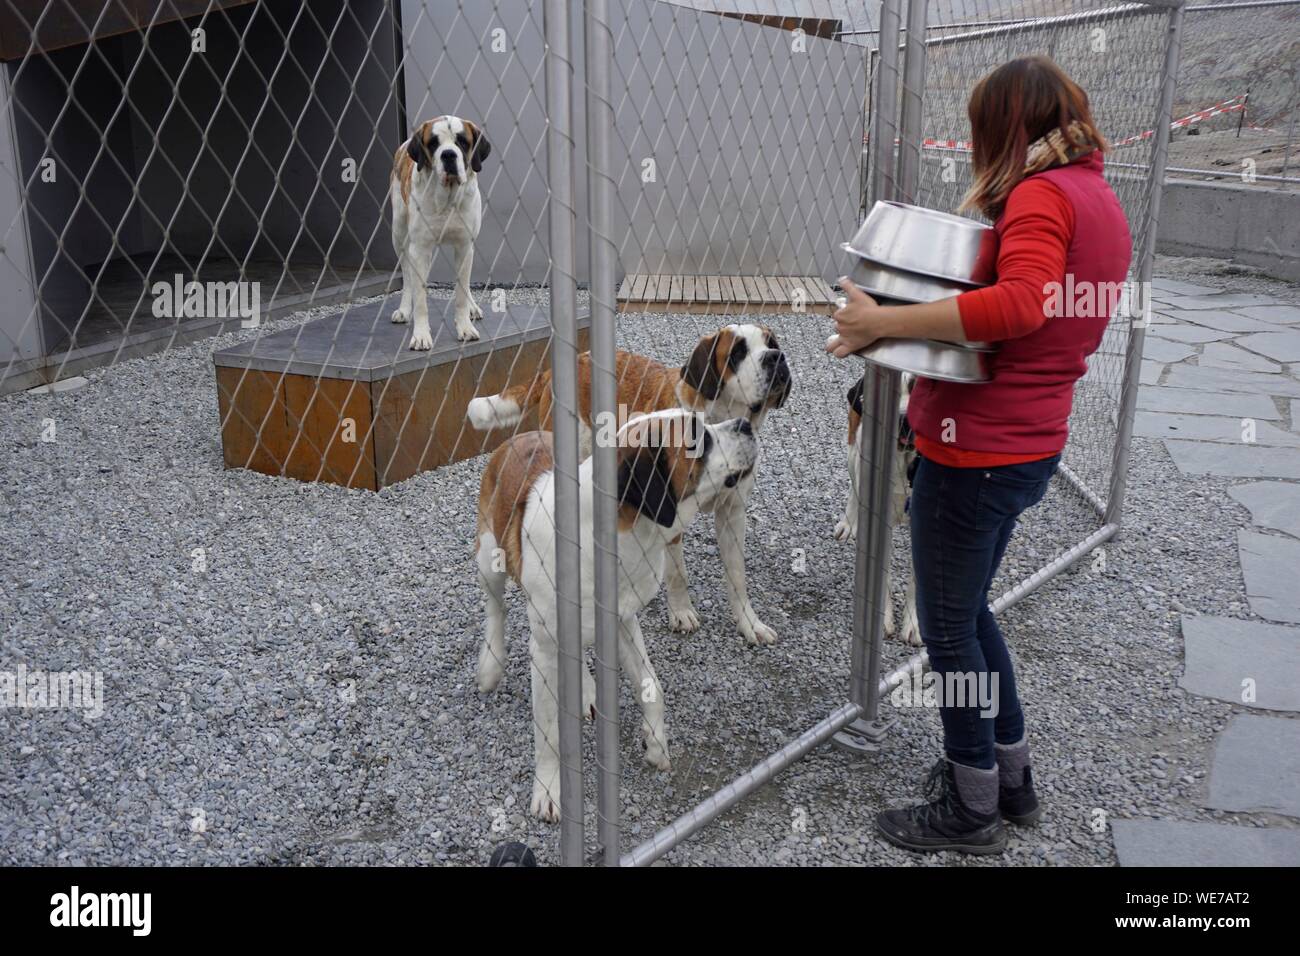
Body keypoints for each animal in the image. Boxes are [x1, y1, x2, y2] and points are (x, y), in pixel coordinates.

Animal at [387, 115, 488, 348]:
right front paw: (421, 335)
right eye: (433, 143)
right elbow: (420, 297)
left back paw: (473, 307)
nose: (448, 154)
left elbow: (461, 291)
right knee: (407, 275)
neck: (447, 199)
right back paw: (404, 310)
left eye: (462, 141)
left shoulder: (464, 246)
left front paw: (465, 327)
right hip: (398, 234)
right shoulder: (419, 250)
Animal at [467, 325, 790, 647]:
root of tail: (556, 368)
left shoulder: (732, 513)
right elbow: (678, 574)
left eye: (771, 343)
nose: (776, 357)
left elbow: (737, 575)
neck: (718, 417)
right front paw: (681, 612)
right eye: (738, 352)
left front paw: (749, 623)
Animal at [475, 411, 759, 822]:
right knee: (496, 605)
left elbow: (652, 686)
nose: (744, 424)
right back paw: (491, 664)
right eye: (697, 438)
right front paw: (548, 790)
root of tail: (520, 436)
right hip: (489, 557)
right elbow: (549, 734)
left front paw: (655, 742)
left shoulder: (623, 620)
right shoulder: (542, 649)